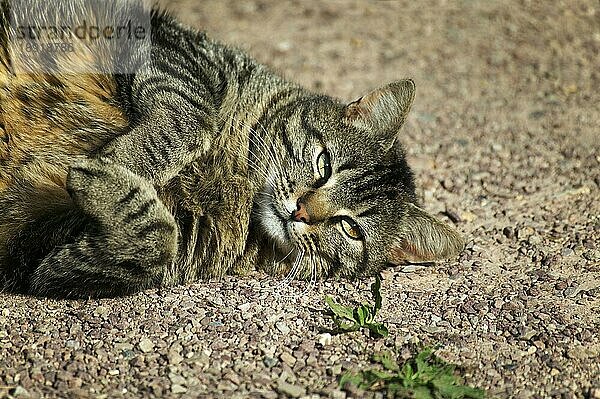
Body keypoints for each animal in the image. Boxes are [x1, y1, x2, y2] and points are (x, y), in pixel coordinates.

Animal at [0, 0, 464, 298]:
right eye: (324, 164)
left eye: (349, 228)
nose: (300, 211)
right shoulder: (170, 49)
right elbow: (191, 118)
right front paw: (120, 161)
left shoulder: (38, 255)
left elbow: (153, 238)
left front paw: (103, 173)